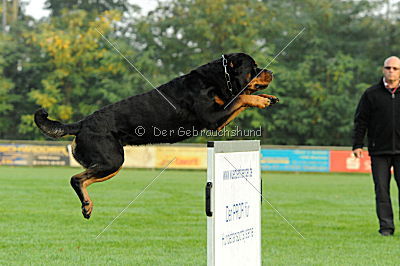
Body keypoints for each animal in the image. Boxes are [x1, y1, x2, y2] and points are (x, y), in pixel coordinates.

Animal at [34, 52, 276, 218]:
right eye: (254, 67)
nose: (271, 72)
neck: (218, 79)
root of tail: (81, 123)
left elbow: (239, 99)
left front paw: (269, 97)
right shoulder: (213, 118)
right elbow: (241, 98)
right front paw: (260, 100)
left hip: (108, 164)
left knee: (83, 178)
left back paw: (88, 205)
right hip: (112, 160)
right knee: (76, 179)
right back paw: (86, 205)